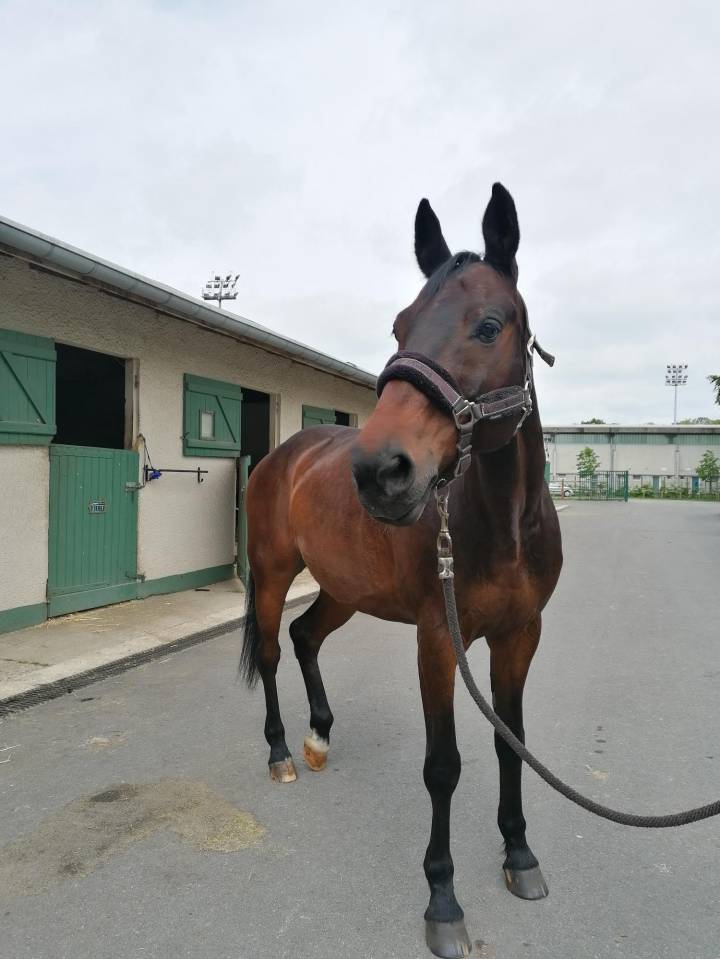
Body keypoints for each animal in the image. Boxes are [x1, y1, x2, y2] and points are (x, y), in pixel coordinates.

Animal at [240, 182, 563, 958]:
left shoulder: (520, 636)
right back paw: (279, 750)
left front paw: (519, 855)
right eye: (398, 326)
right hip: (273, 573)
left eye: (488, 324)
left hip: (341, 588)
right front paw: (443, 900)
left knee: (304, 637)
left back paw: (319, 733)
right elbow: (442, 766)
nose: (379, 471)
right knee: (271, 651)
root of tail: (281, 455)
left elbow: (511, 745)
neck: (502, 524)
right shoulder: (437, 640)